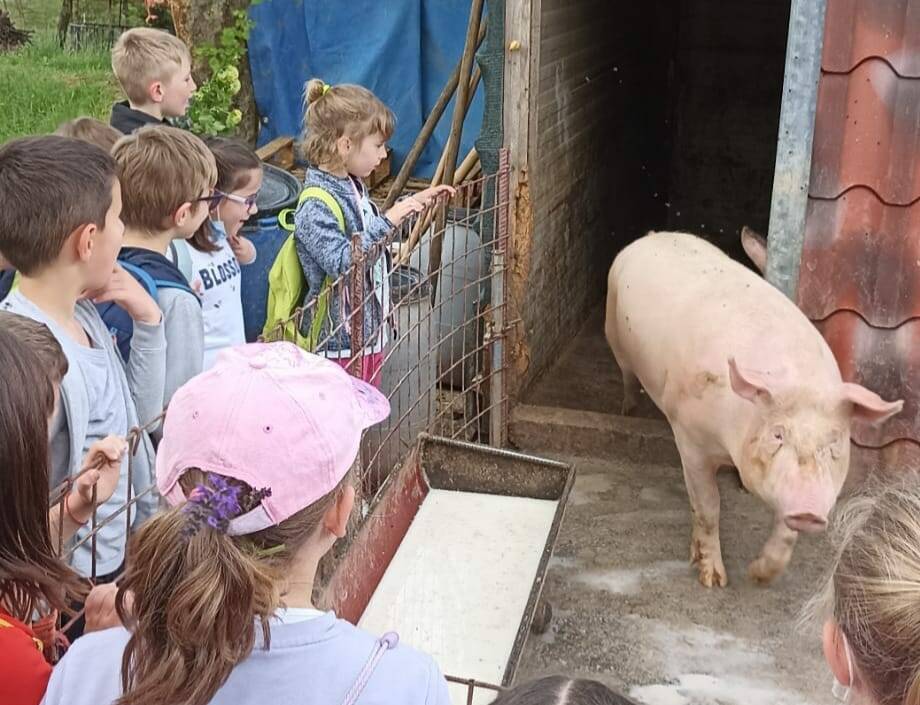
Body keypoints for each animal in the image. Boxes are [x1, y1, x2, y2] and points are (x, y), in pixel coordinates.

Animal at [604, 232, 900, 588]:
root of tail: (651, 237)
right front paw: (714, 581)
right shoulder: (689, 437)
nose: (809, 510)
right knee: (627, 376)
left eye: (834, 442)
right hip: (614, 334)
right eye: (777, 434)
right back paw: (627, 410)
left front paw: (757, 576)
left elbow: (786, 533)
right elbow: (708, 506)